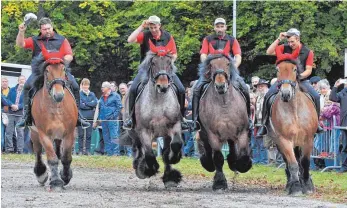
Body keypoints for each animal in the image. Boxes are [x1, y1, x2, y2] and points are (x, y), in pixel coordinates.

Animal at [29, 48, 77, 190]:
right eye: (47, 71)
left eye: (63, 69)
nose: (59, 95)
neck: (56, 108)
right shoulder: (43, 134)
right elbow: (52, 158)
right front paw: (56, 182)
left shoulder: (69, 133)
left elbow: (66, 157)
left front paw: (65, 177)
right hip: (34, 133)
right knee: (38, 152)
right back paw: (41, 174)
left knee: (59, 151)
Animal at [121, 51, 184, 187]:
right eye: (153, 63)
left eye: (169, 63)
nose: (163, 86)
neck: (159, 101)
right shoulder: (144, 131)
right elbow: (149, 154)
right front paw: (148, 169)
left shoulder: (174, 126)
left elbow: (176, 144)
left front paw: (173, 163)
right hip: (133, 132)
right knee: (138, 147)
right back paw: (139, 166)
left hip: (164, 134)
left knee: (165, 151)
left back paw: (169, 177)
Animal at [198, 54, 253, 191]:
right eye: (211, 65)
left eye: (228, 64)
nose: (220, 86)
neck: (224, 104)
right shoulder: (213, 134)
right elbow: (218, 157)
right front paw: (219, 182)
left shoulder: (242, 132)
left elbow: (244, 154)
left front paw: (242, 165)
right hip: (204, 132)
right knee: (207, 147)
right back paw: (207, 163)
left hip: (231, 134)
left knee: (232, 147)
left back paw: (233, 162)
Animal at [270, 59, 318, 195]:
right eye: (277, 69)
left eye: (295, 69)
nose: (286, 94)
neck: (294, 110)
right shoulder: (284, 140)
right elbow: (292, 163)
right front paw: (296, 187)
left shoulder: (308, 139)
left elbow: (305, 162)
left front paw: (307, 185)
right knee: (288, 162)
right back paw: (290, 184)